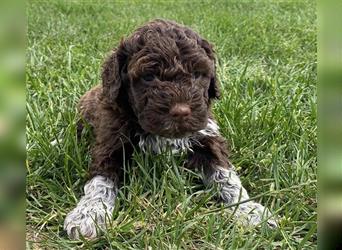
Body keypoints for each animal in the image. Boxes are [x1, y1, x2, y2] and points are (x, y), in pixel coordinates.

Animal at [64, 19, 278, 238]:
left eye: (197, 74)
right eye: (149, 76)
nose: (181, 111)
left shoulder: (206, 136)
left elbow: (226, 176)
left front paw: (248, 209)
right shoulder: (111, 141)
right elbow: (100, 181)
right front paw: (89, 213)